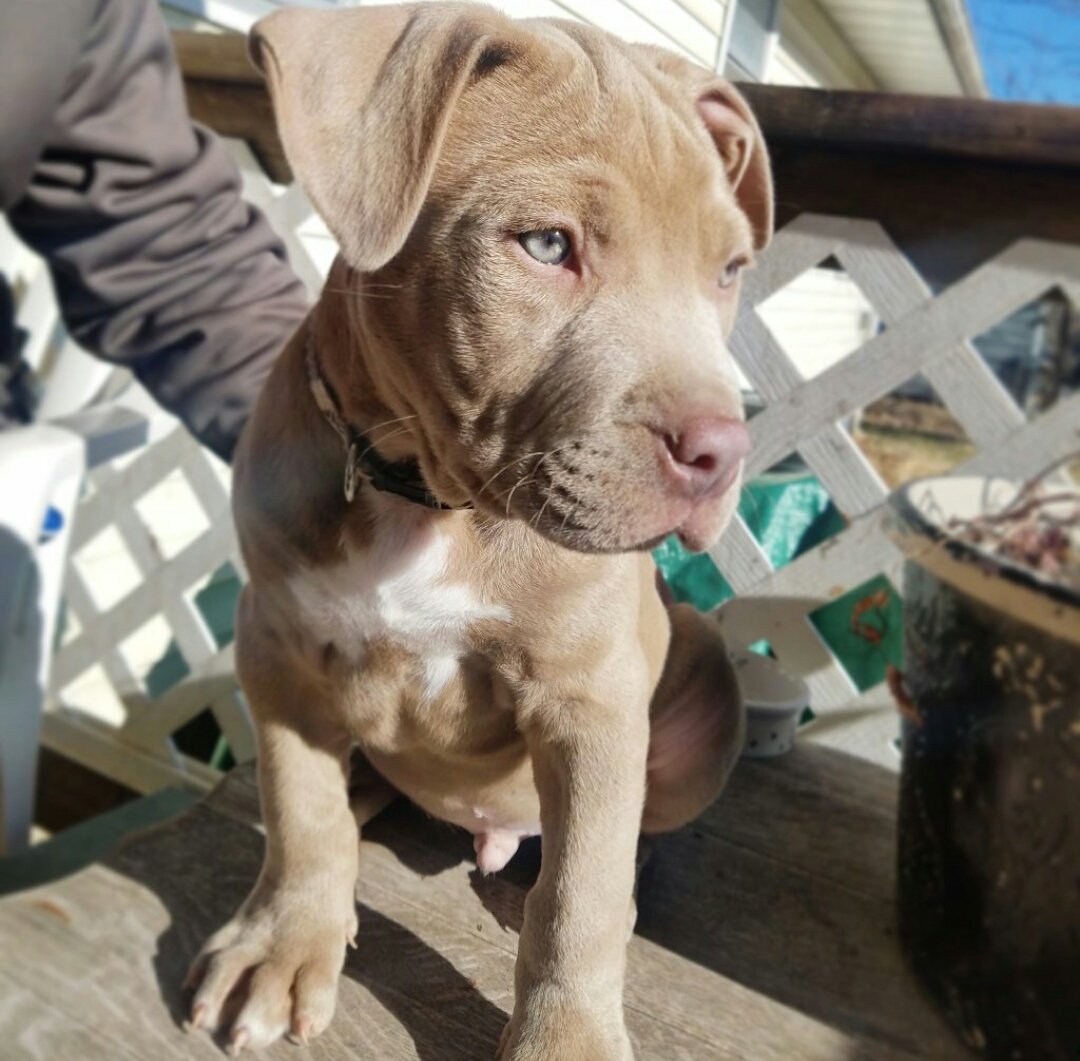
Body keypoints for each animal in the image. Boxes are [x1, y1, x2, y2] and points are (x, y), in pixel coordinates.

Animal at [184, 4, 771, 1057]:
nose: (721, 450)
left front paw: (568, 1036)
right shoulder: (275, 643)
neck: (425, 498)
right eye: (545, 244)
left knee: (615, 845)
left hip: (703, 685)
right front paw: (283, 942)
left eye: (730, 270)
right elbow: (299, 807)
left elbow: (578, 896)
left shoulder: (590, 697)